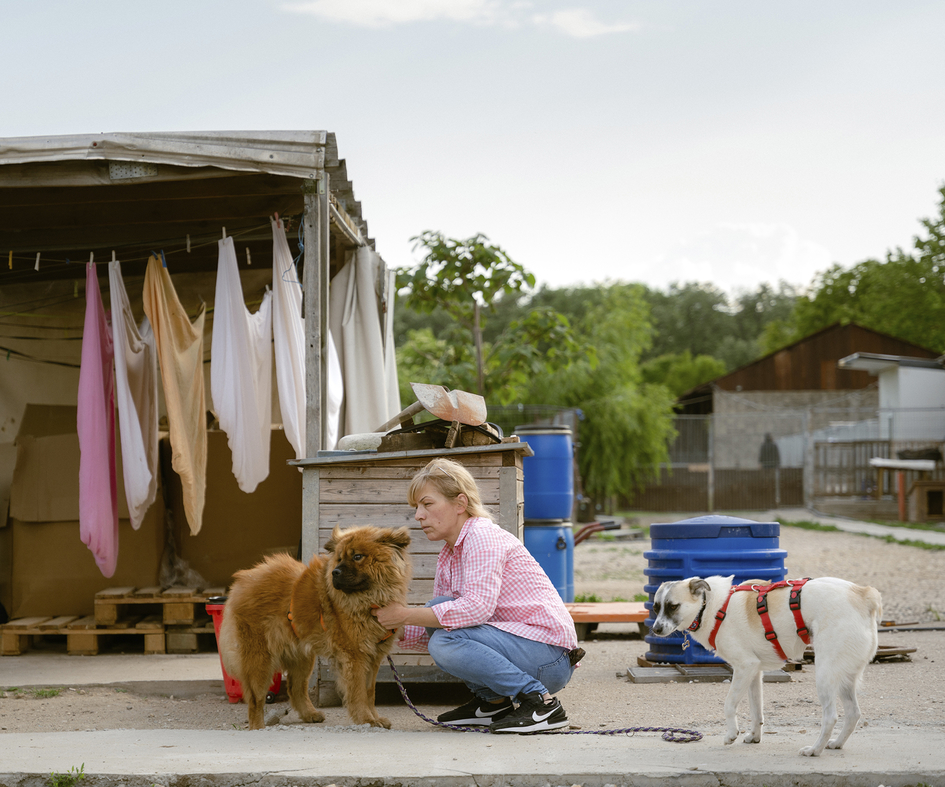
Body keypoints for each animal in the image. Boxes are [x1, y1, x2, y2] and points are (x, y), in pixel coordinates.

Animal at [223, 528, 414, 728]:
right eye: (339, 559)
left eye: (357, 557)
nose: (335, 572)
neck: (368, 599)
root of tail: (242, 582)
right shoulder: (356, 657)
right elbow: (359, 693)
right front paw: (366, 720)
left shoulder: (373, 657)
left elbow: (370, 692)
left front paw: (375, 718)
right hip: (260, 661)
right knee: (255, 700)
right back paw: (258, 727)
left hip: (302, 658)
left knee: (296, 689)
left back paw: (310, 714)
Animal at [652, 580, 880, 756]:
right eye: (655, 607)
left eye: (673, 606)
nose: (655, 629)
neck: (711, 607)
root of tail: (863, 594)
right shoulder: (754, 672)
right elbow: (756, 711)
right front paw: (755, 736)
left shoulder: (744, 667)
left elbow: (729, 704)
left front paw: (731, 734)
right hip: (844, 676)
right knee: (853, 713)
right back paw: (837, 743)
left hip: (825, 673)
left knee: (831, 717)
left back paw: (815, 750)